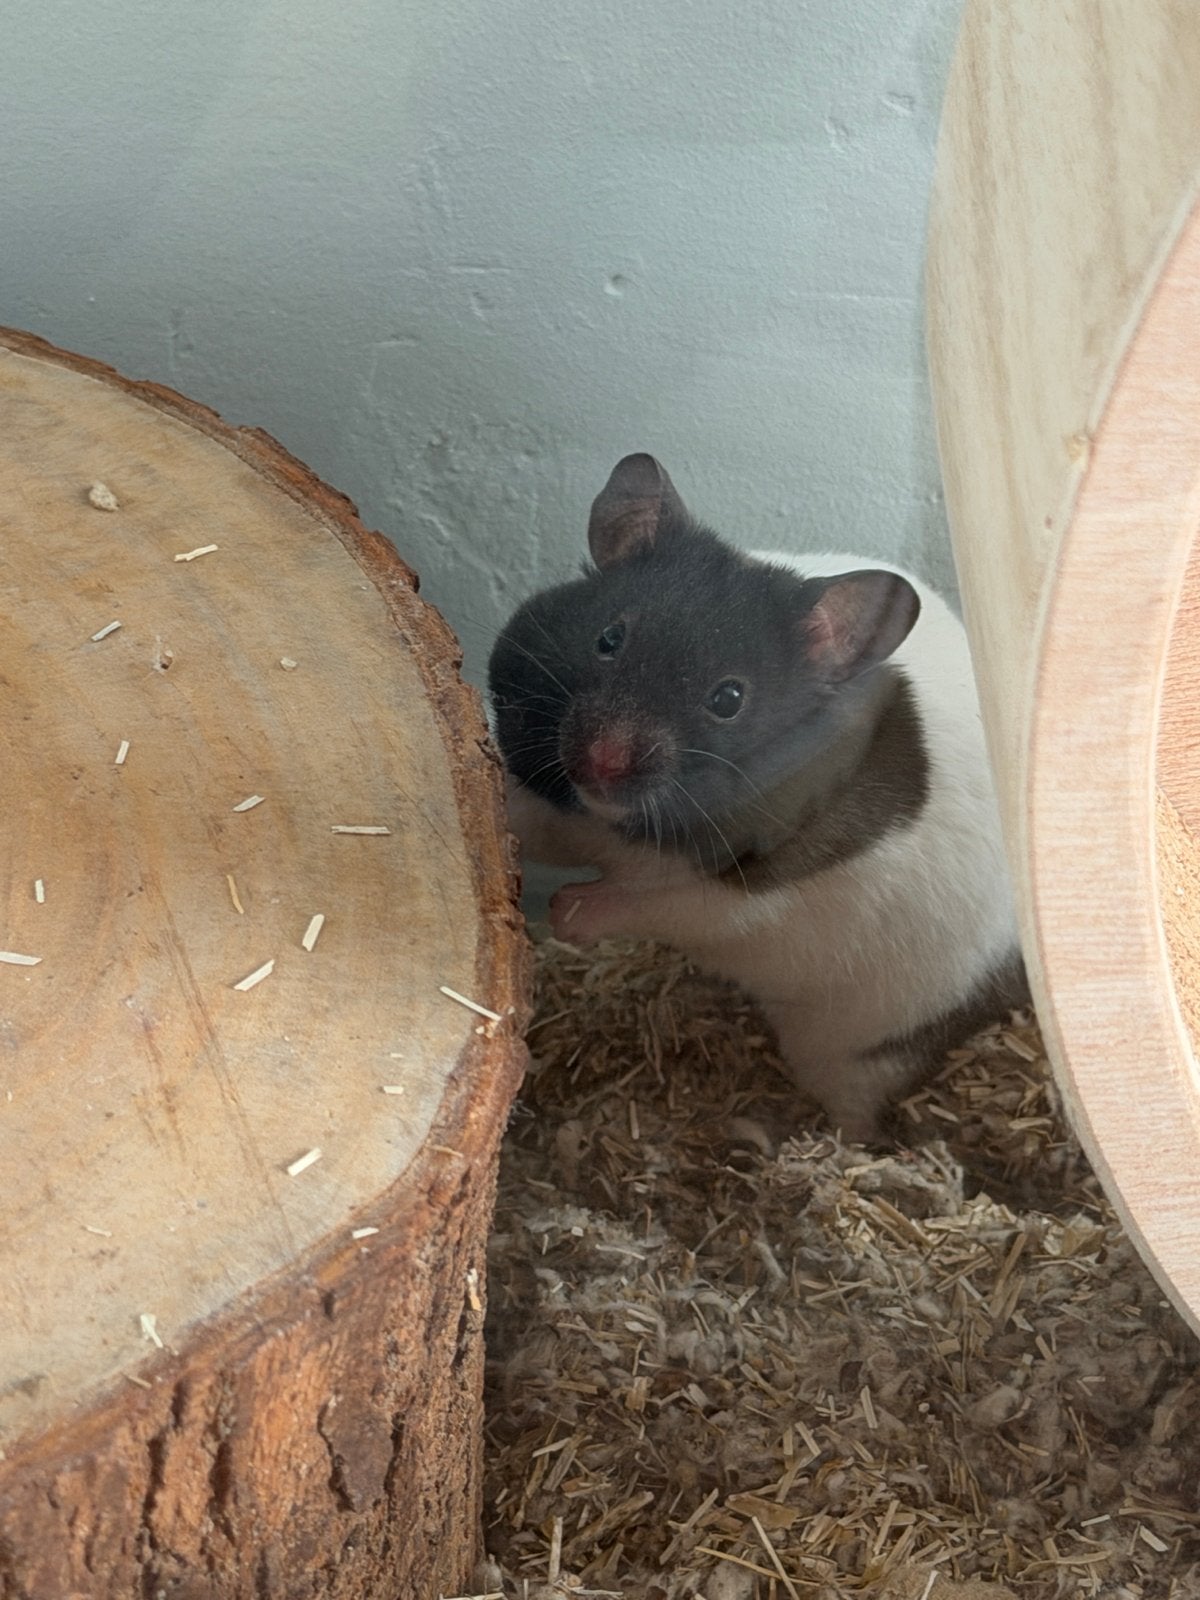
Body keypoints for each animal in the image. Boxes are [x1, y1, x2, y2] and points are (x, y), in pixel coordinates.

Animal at [487, 452, 1028, 1141]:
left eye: (729, 699)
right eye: (609, 638)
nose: (602, 762)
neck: (622, 828)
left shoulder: (759, 902)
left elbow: (666, 906)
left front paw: (564, 911)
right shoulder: (570, 811)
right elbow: (533, 818)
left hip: (862, 1051)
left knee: (857, 1115)